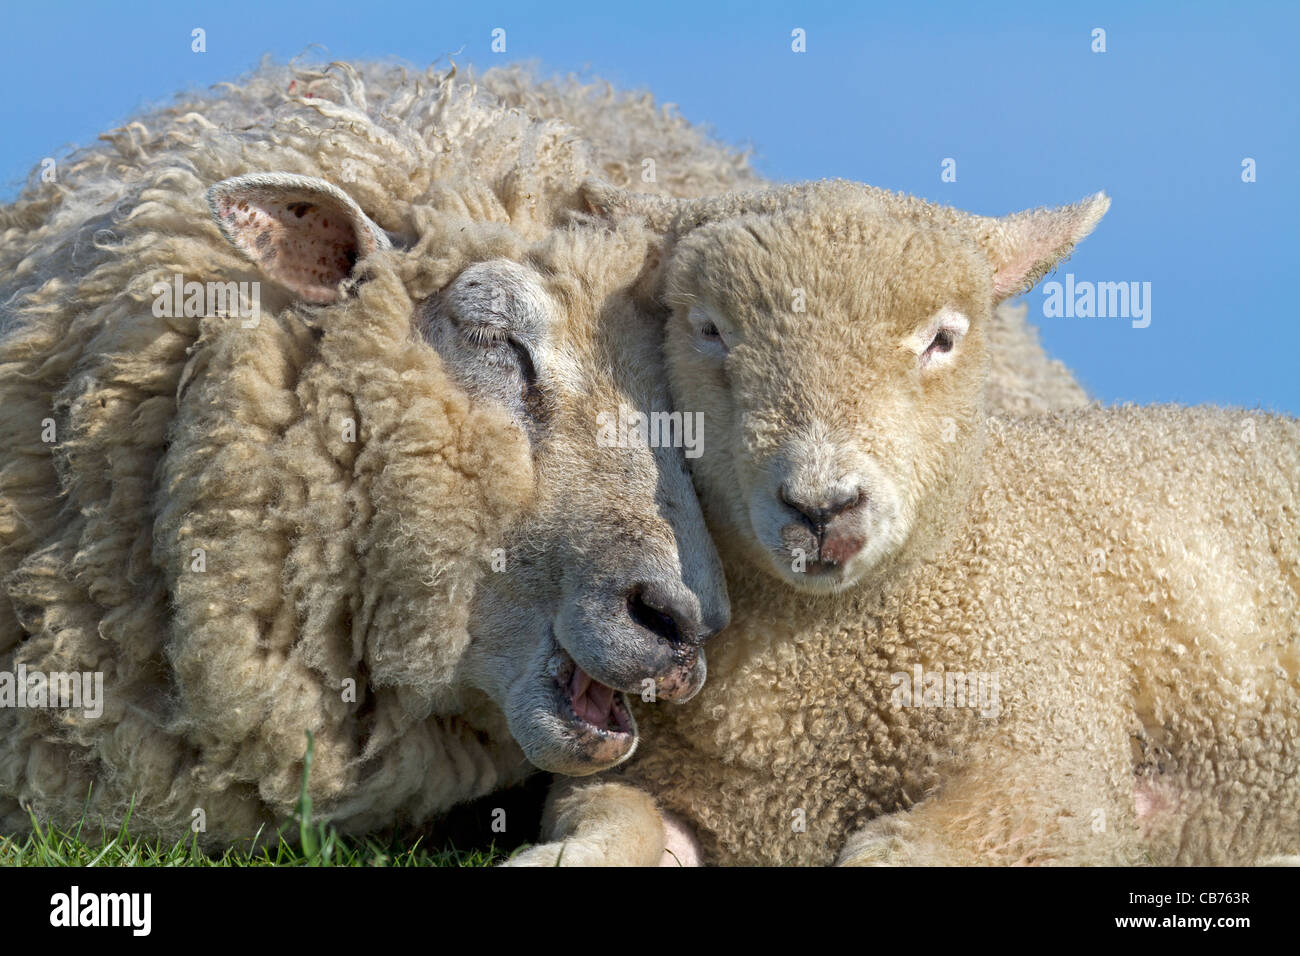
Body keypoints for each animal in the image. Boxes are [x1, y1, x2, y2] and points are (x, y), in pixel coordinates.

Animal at [514, 179, 1300, 868]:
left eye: (942, 340)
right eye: (708, 329)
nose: (821, 506)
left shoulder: (1057, 783)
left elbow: (888, 851)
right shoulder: (646, 778)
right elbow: (613, 820)